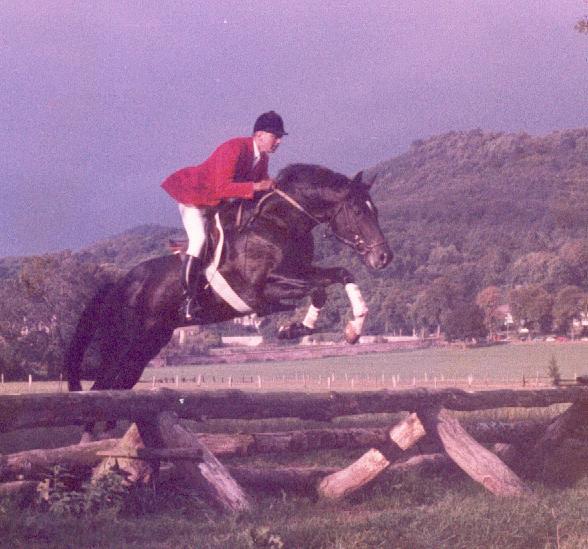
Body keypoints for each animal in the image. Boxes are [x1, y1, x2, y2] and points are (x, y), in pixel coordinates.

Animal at [64, 162, 390, 432]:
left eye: (376, 210)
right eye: (359, 212)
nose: (384, 257)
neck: (279, 224)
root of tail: (118, 285)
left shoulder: (301, 271)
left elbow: (342, 274)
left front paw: (353, 328)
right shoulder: (263, 288)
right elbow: (318, 291)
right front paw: (293, 328)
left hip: (145, 347)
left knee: (115, 394)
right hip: (123, 344)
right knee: (101, 391)